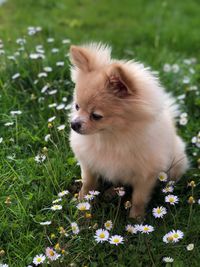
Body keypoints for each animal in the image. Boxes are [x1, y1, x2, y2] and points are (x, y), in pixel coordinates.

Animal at [68, 43, 188, 220]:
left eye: (96, 116)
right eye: (77, 106)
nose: (73, 124)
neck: (111, 137)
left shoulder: (146, 175)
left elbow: (139, 198)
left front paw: (135, 220)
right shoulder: (89, 162)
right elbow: (88, 183)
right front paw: (82, 202)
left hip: (174, 164)